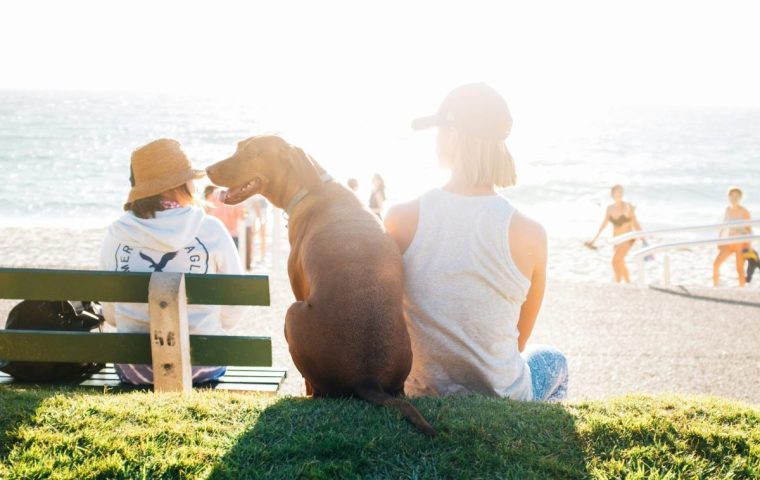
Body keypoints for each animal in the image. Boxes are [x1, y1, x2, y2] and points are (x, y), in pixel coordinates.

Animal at [206, 134, 434, 436]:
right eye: (238, 148)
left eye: (252, 153)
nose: (207, 169)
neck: (310, 186)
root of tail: (367, 379)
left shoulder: (298, 288)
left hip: (292, 313)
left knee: (316, 387)